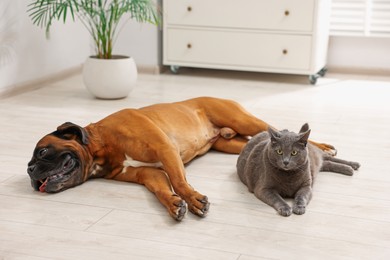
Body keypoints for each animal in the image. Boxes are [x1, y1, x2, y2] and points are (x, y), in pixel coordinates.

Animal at [27, 96, 336, 220]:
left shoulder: (165, 148)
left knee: (281, 130)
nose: (29, 170)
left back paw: (323, 147)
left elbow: (178, 180)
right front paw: (174, 204)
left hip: (243, 120)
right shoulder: (149, 173)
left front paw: (194, 199)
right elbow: (163, 188)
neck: (101, 144)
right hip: (231, 144)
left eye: (42, 151)